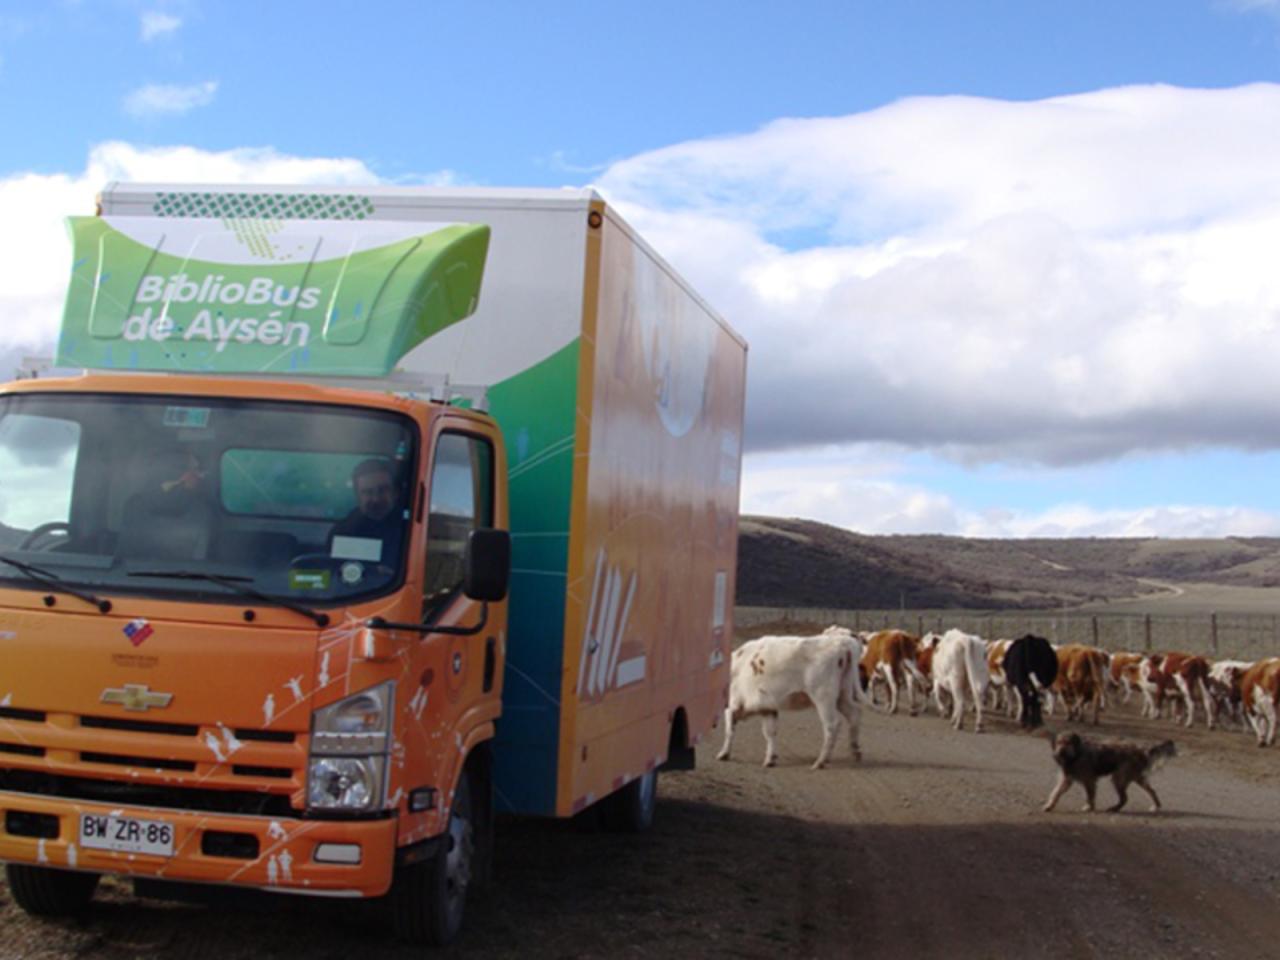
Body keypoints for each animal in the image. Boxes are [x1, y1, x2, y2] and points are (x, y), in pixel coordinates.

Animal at [1044, 732, 1172, 814]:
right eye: (1059, 742)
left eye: (1068, 743)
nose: (1060, 751)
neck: (1076, 755)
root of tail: (1141, 750)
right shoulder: (1067, 780)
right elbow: (1056, 793)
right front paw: (1049, 805)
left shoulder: (1089, 780)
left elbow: (1090, 795)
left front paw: (1089, 807)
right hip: (1136, 777)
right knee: (1151, 791)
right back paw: (1156, 806)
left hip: (1119, 777)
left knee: (1125, 798)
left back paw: (1114, 808)